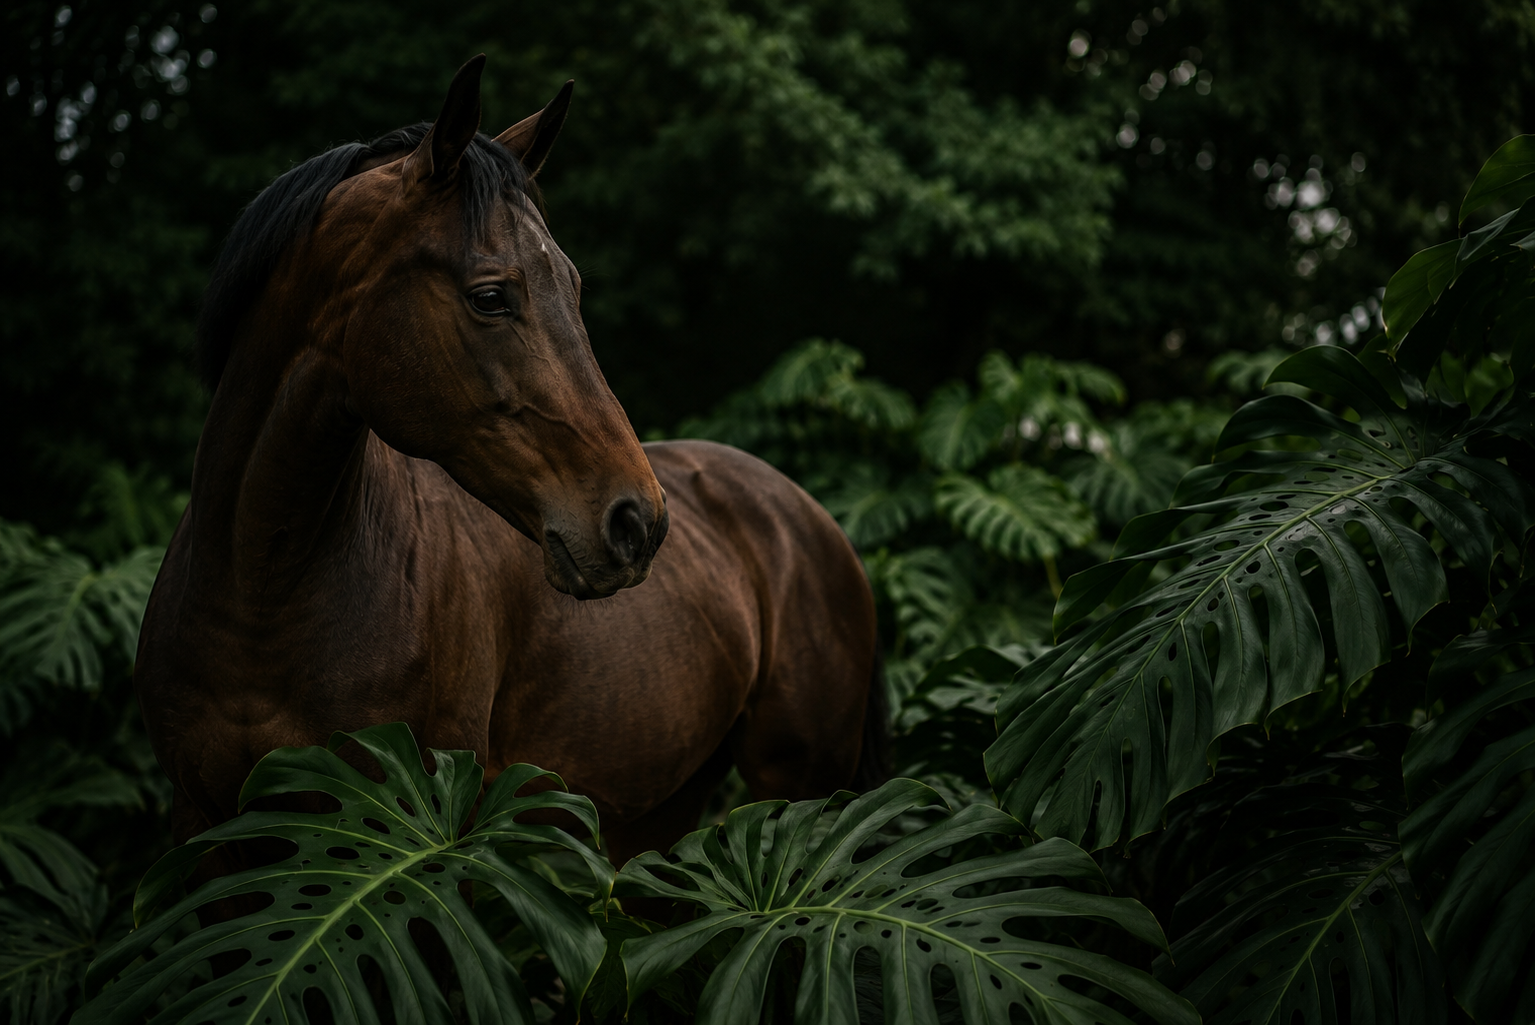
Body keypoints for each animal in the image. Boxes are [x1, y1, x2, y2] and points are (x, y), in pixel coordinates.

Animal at [134, 55, 882, 873]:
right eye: (491, 296)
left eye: (575, 287)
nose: (636, 522)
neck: (261, 593)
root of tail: (807, 517)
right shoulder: (204, 828)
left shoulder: (413, 836)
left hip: (798, 795)